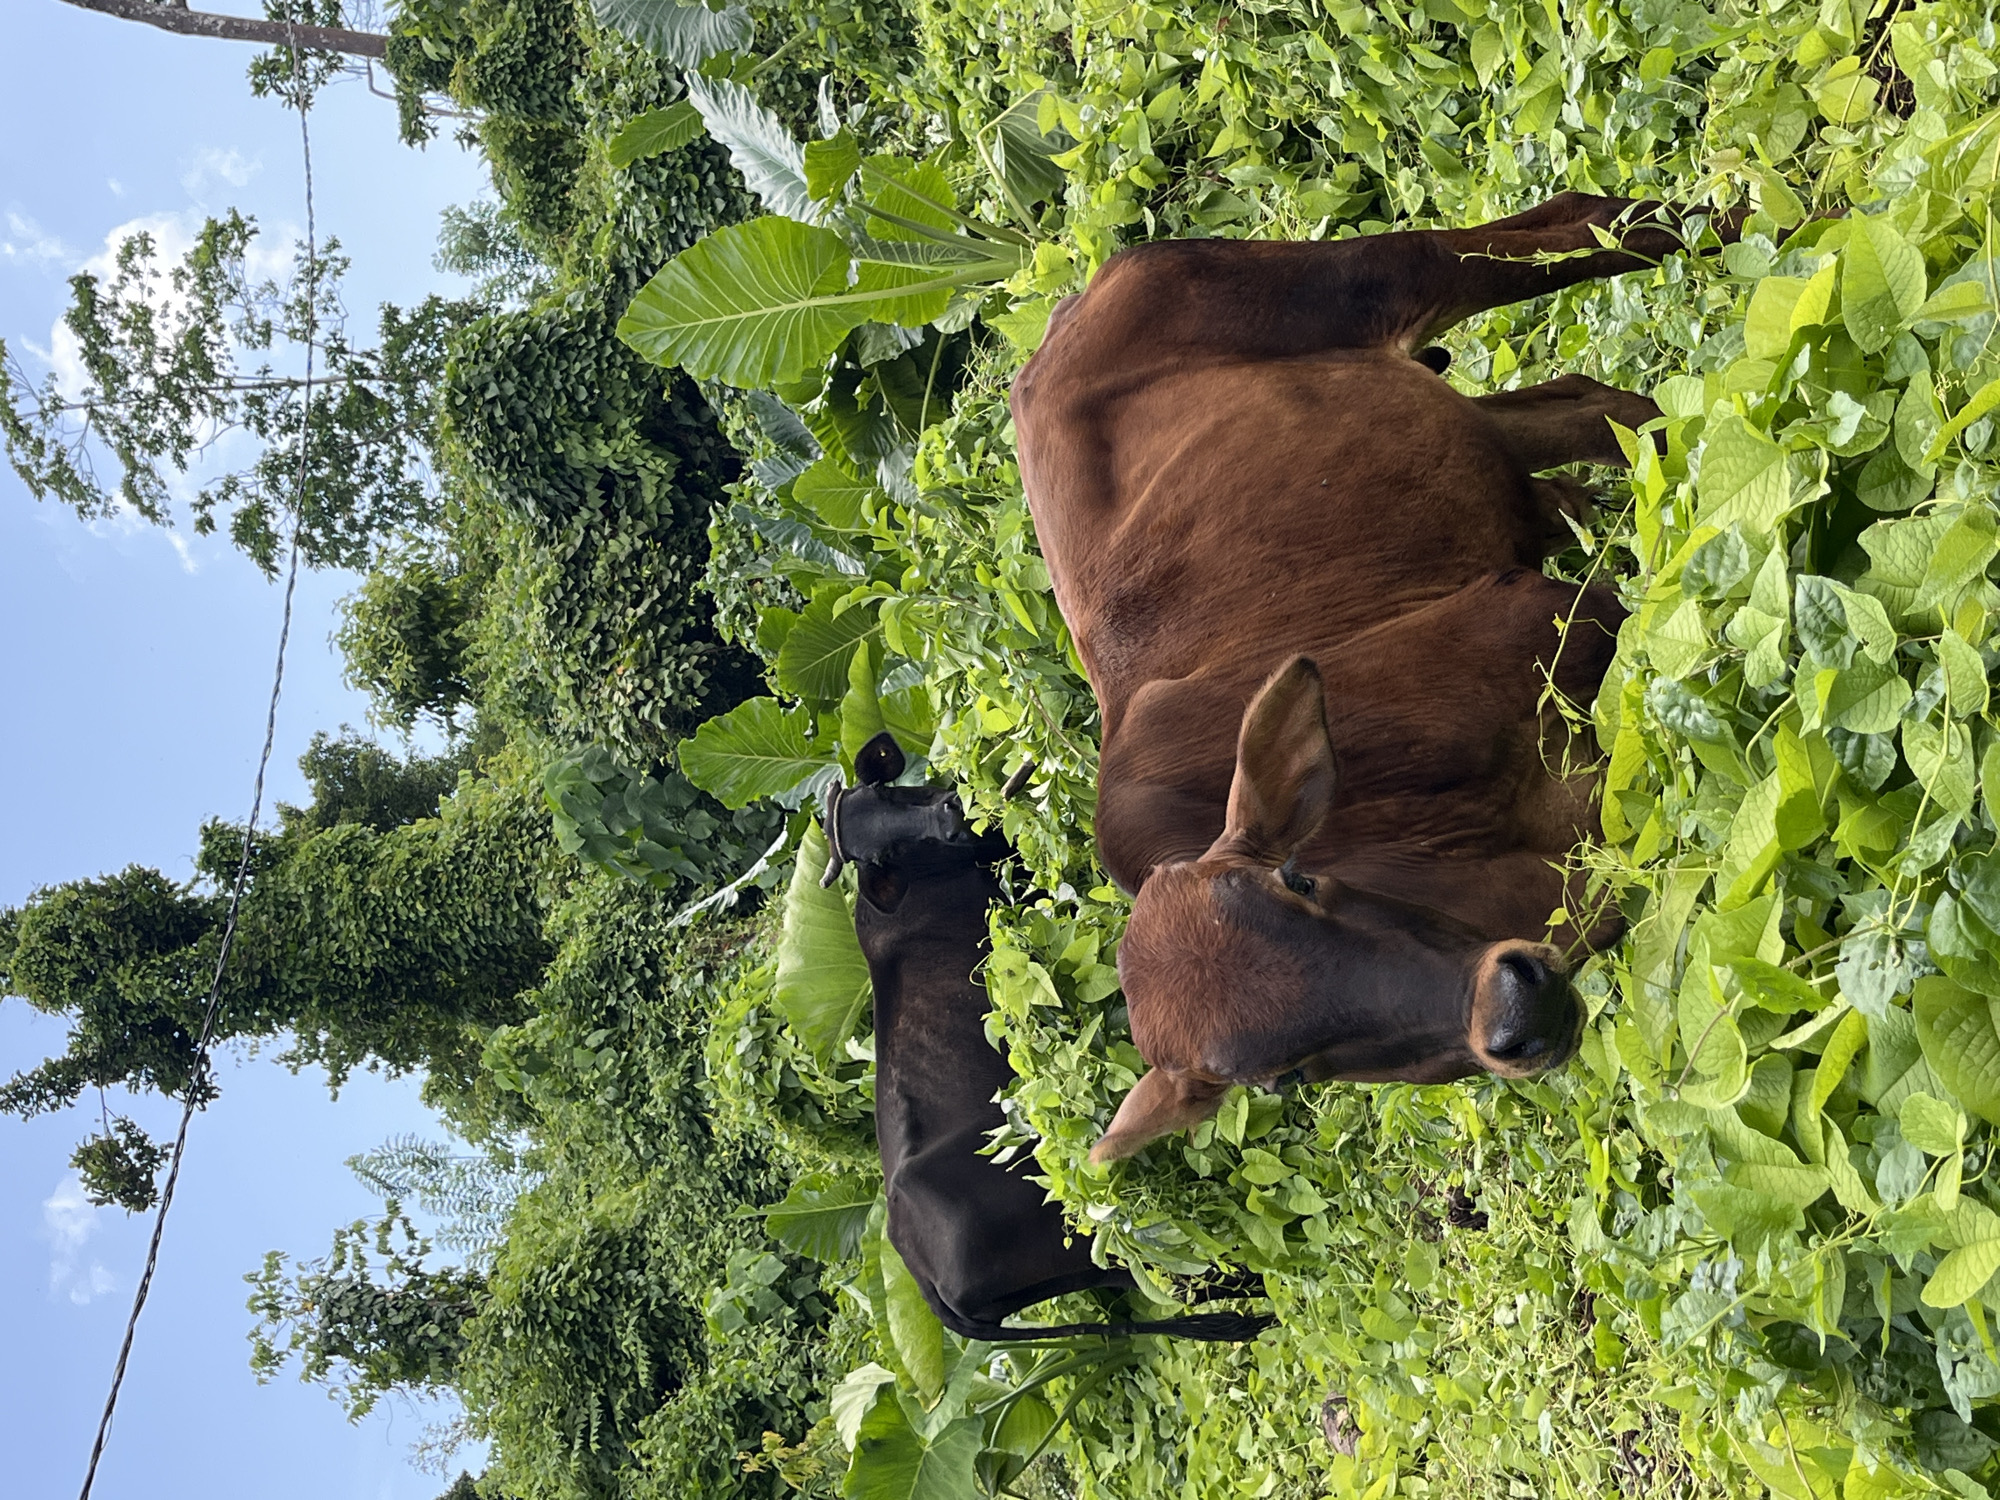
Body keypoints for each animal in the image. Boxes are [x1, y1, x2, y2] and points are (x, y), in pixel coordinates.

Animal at [822, 731, 1270, 1341]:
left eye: (886, 791)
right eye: (878, 858)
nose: (949, 813)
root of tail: (923, 1278)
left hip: (1076, 1266)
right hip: (1081, 1233)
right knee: (1182, 1279)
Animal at [1008, 193, 1726, 1161]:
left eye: (1299, 881)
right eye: (1282, 1079)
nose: (1514, 1013)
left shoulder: (1553, 617)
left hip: (1367, 279)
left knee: (1580, 230)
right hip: (1463, 430)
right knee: (1589, 404)